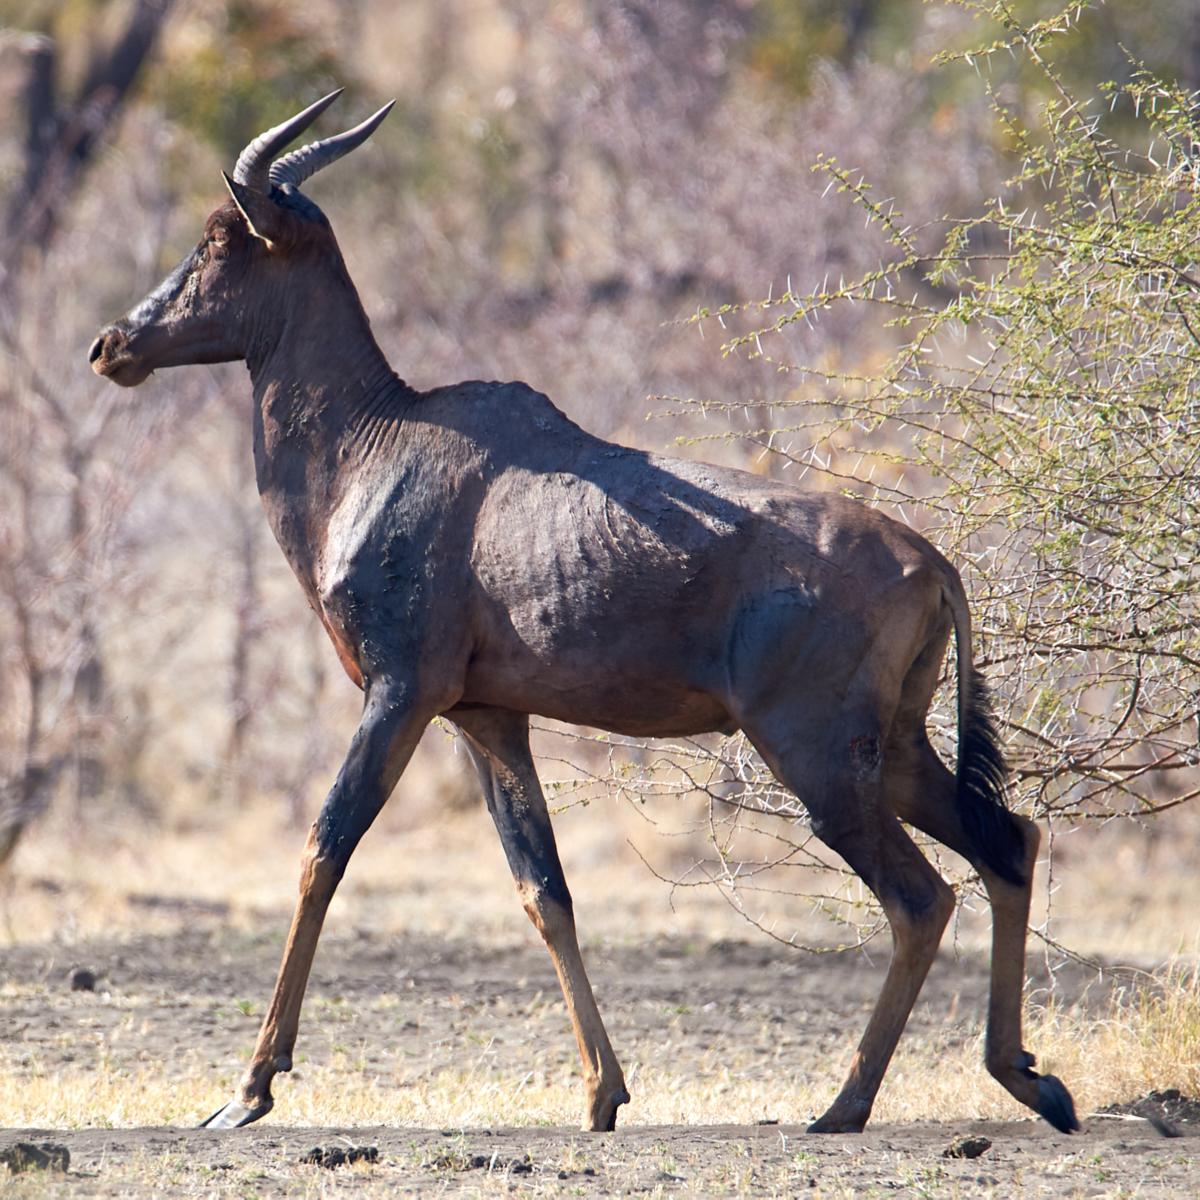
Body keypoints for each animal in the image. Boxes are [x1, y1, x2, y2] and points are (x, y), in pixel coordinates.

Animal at [89, 92, 1078, 1137]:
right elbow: (544, 888)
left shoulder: (398, 696)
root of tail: (932, 561)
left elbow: (326, 850)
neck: (381, 439)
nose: (113, 345)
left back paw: (843, 1105)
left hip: (814, 757)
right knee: (1010, 845)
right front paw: (604, 1093)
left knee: (920, 898)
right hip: (893, 749)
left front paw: (248, 1091)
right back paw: (1027, 1078)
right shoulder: (486, 718)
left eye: (218, 236)